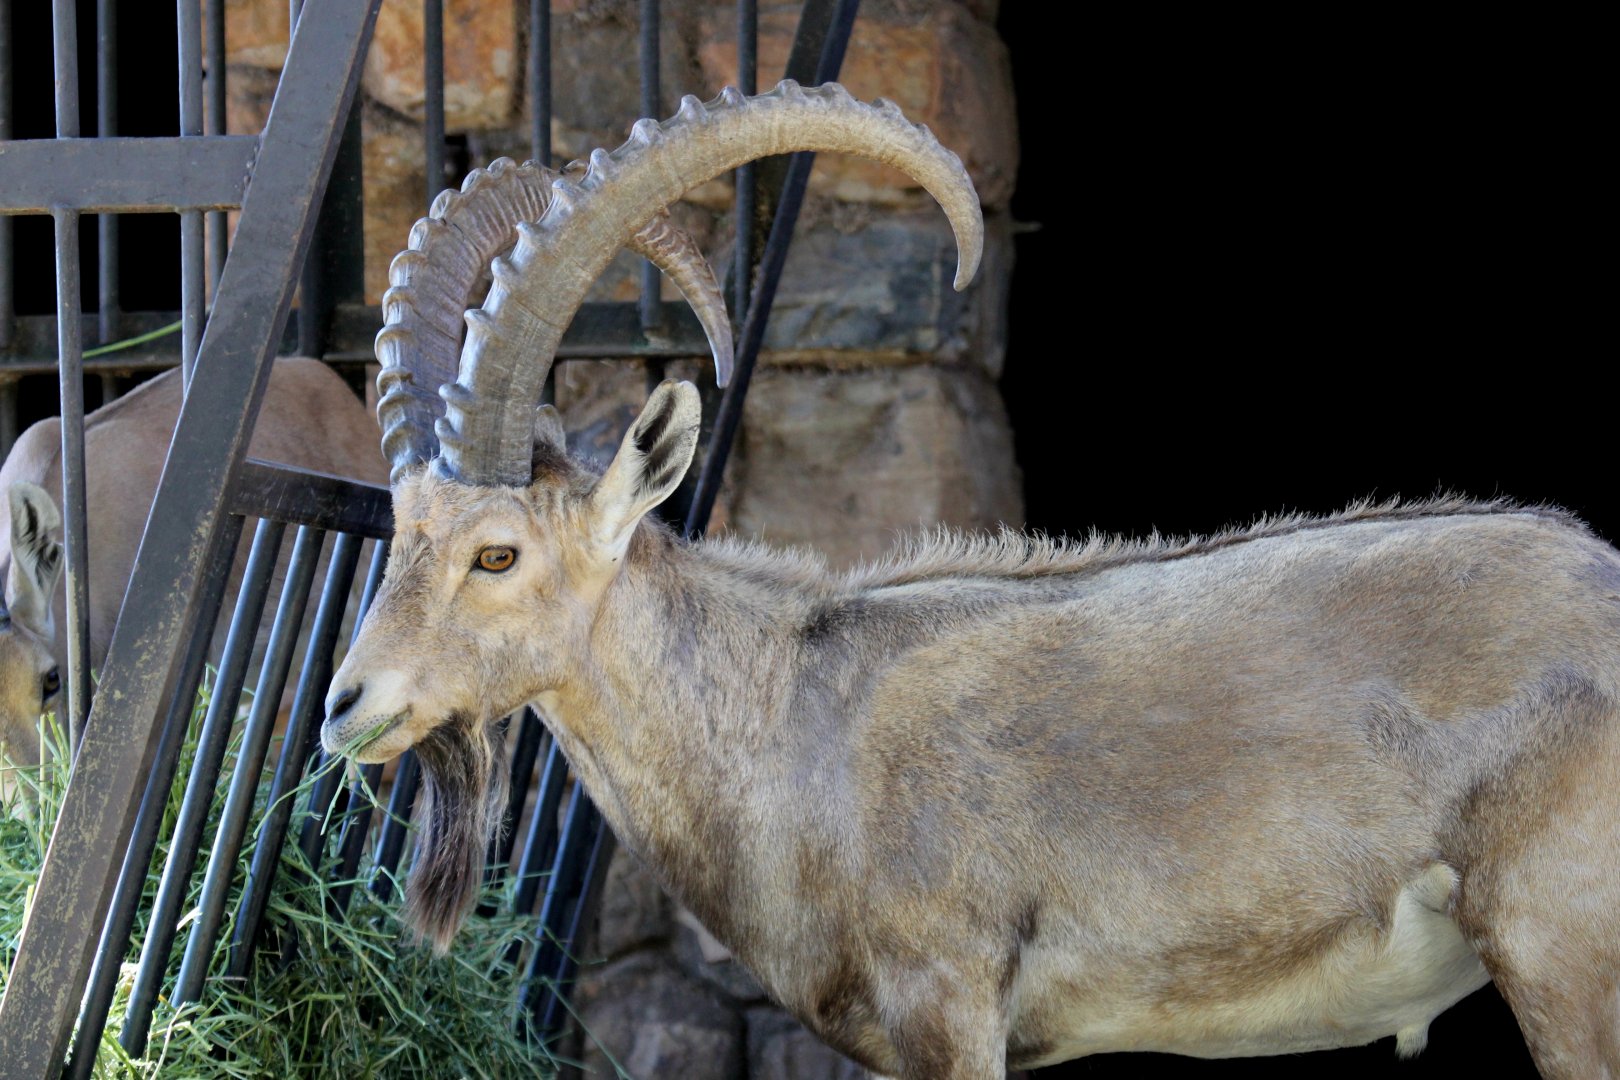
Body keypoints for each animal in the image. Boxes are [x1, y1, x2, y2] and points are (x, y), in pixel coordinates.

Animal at [322, 82, 1619, 1079]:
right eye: (402, 531)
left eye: (499, 552)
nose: (346, 707)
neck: (788, 719)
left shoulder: (948, 1001)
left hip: (1560, 947)